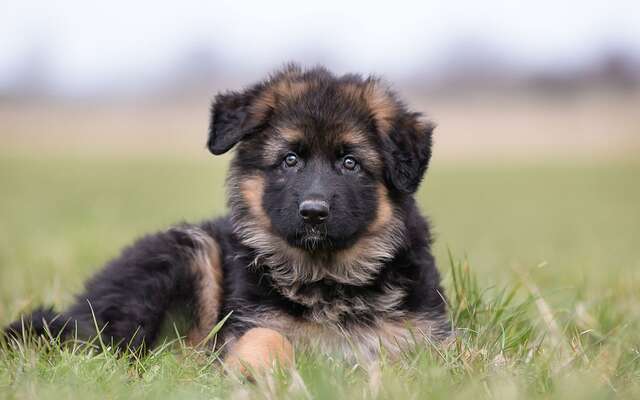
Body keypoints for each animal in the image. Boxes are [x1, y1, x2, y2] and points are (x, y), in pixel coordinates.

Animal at [3, 65, 450, 372]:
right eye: (289, 160)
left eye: (350, 163)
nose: (313, 212)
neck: (326, 278)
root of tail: (76, 308)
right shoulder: (246, 325)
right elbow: (267, 338)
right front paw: (258, 373)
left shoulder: (426, 336)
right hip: (186, 252)